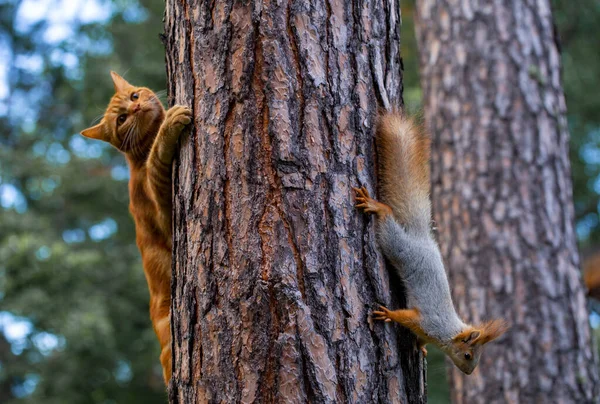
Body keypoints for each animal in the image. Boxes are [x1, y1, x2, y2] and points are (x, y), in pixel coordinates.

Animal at [79, 71, 191, 384]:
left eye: (134, 96)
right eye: (121, 119)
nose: (137, 108)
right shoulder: (165, 215)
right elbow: (156, 160)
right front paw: (169, 126)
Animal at [354, 112, 508, 374]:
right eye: (468, 355)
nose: (469, 372)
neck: (448, 332)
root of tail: (421, 237)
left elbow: (420, 339)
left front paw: (421, 348)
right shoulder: (428, 321)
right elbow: (406, 317)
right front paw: (388, 313)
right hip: (397, 246)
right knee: (387, 222)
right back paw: (378, 207)